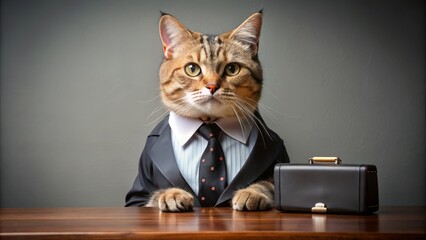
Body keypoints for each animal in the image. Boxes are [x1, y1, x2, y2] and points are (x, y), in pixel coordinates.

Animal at [124, 10, 290, 211]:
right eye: (192, 69)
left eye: (232, 68)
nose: (212, 86)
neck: (210, 124)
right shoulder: (137, 197)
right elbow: (151, 197)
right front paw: (172, 194)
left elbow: (269, 184)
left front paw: (251, 192)